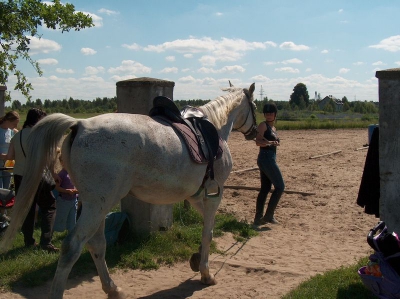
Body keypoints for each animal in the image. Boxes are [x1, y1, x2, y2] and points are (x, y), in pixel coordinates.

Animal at [0, 83, 256, 298]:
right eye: (254, 107)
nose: (257, 132)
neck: (214, 127)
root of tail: (80, 124)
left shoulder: (195, 196)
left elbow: (205, 225)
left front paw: (196, 259)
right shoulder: (215, 194)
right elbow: (208, 232)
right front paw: (206, 273)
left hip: (95, 204)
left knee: (97, 244)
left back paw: (113, 289)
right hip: (97, 205)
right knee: (73, 247)